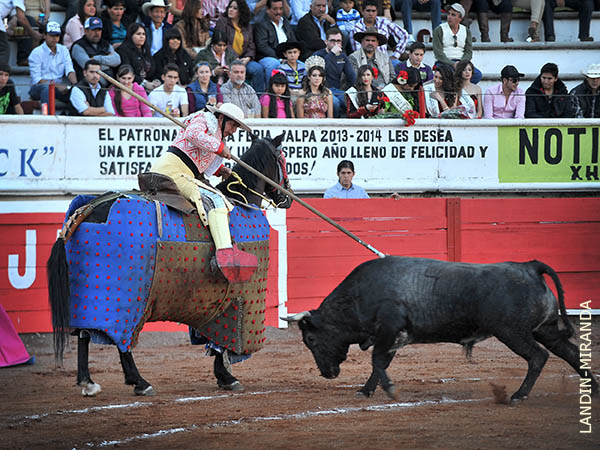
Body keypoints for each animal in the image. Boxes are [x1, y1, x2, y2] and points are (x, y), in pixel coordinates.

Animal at [47, 132, 290, 396]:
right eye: (283, 160)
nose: (287, 197)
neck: (240, 201)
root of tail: (87, 210)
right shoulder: (237, 302)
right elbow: (222, 344)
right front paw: (226, 376)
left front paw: (224, 376)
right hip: (124, 301)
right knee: (122, 341)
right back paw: (140, 381)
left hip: (88, 299)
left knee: (84, 334)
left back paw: (88, 382)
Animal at [288, 256, 600, 404]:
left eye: (311, 339)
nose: (328, 373)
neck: (360, 294)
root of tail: (530, 267)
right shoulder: (391, 336)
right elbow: (380, 364)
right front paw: (366, 391)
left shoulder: (388, 328)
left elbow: (377, 361)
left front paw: (389, 391)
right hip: (544, 329)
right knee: (571, 353)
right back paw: (594, 390)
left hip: (512, 332)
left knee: (538, 357)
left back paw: (518, 396)